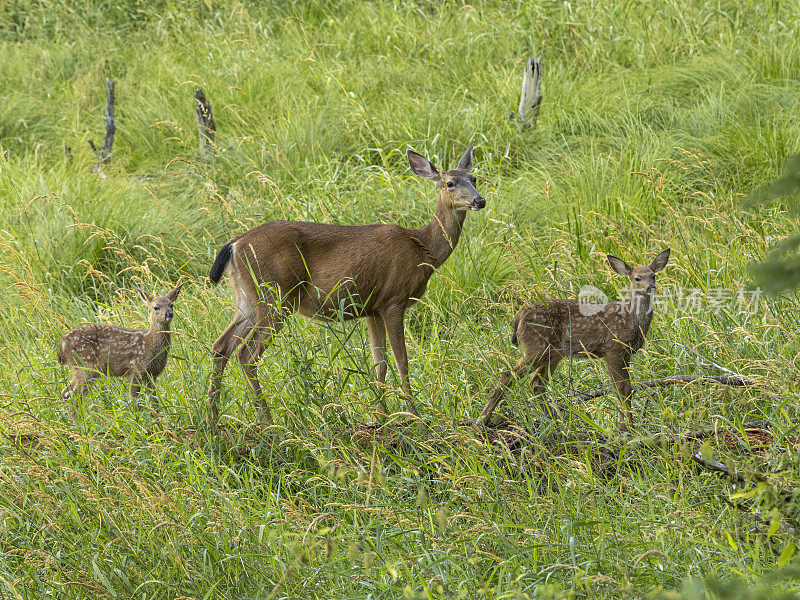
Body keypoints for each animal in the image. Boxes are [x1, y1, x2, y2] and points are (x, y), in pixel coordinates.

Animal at [57, 284, 181, 418]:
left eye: (171, 305)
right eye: (156, 307)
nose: (169, 314)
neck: (149, 345)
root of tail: (62, 343)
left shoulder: (151, 374)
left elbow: (154, 402)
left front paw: (157, 421)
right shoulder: (134, 369)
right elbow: (134, 402)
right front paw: (138, 421)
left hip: (81, 369)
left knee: (66, 393)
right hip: (86, 365)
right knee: (75, 397)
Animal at [206, 144, 484, 426]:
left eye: (474, 179)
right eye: (450, 183)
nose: (479, 201)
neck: (421, 248)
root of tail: (235, 244)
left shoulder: (373, 308)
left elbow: (380, 363)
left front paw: (380, 416)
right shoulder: (394, 300)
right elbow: (402, 362)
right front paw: (414, 415)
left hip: (249, 298)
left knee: (221, 346)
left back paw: (213, 418)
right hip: (276, 295)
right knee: (246, 353)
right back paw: (266, 420)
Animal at [478, 250, 672, 432]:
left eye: (653, 275)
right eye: (637, 278)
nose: (651, 287)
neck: (631, 319)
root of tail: (519, 317)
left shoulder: (626, 354)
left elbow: (628, 389)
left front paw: (629, 426)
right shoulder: (613, 348)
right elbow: (620, 389)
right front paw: (624, 428)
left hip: (554, 352)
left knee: (537, 383)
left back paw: (557, 422)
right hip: (536, 346)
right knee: (507, 375)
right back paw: (481, 422)